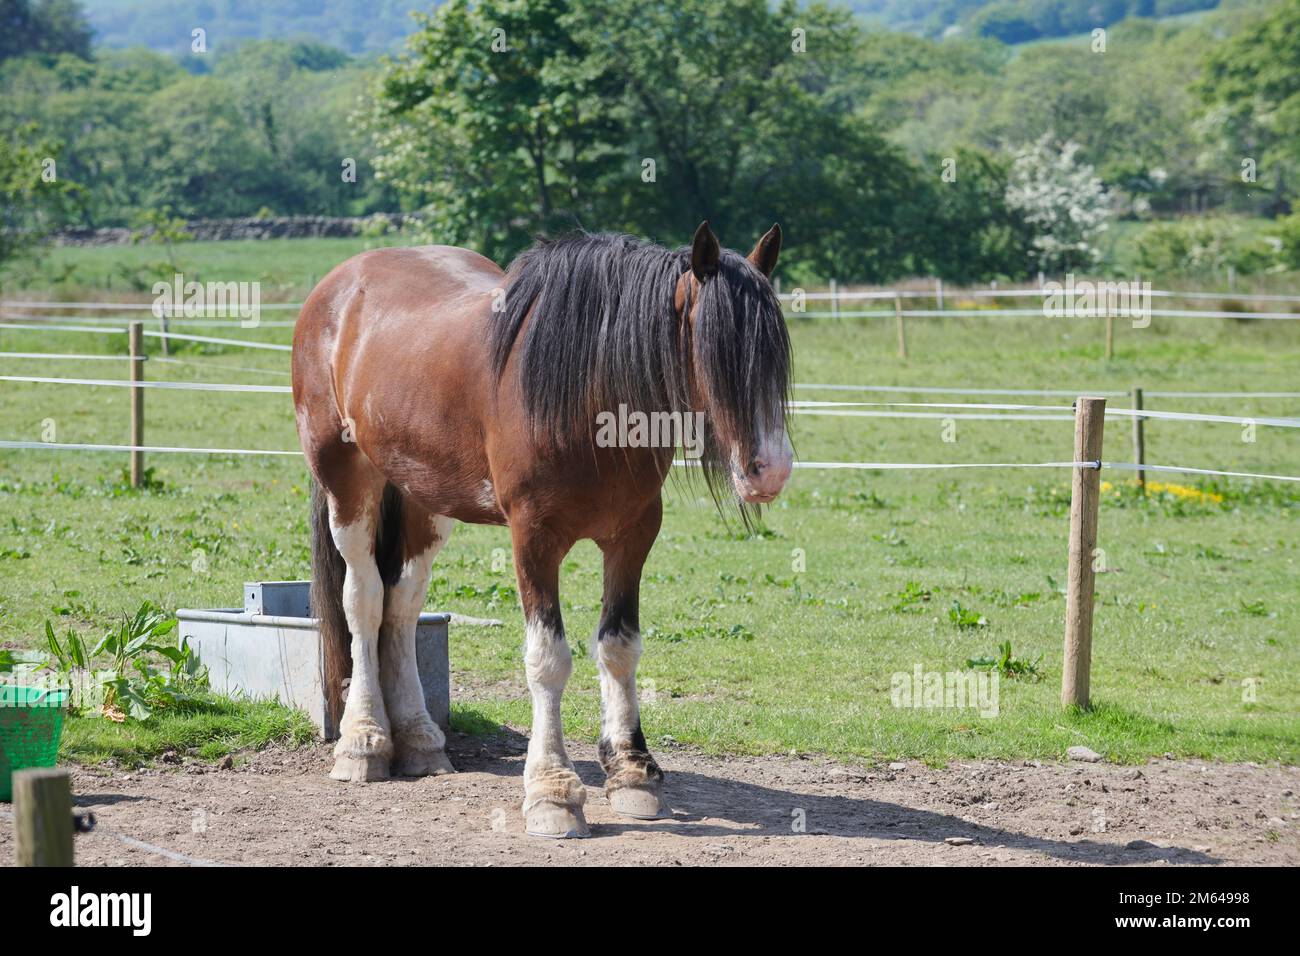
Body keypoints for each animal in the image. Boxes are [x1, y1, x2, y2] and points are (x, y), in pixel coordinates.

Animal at [291, 221, 793, 838]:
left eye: (776, 357)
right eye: (715, 350)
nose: (771, 470)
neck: (591, 393)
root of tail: (339, 285)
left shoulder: (632, 537)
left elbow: (619, 648)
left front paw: (633, 774)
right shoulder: (533, 539)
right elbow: (548, 660)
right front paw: (553, 792)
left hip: (422, 497)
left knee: (401, 604)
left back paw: (418, 739)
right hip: (347, 480)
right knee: (362, 600)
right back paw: (363, 742)